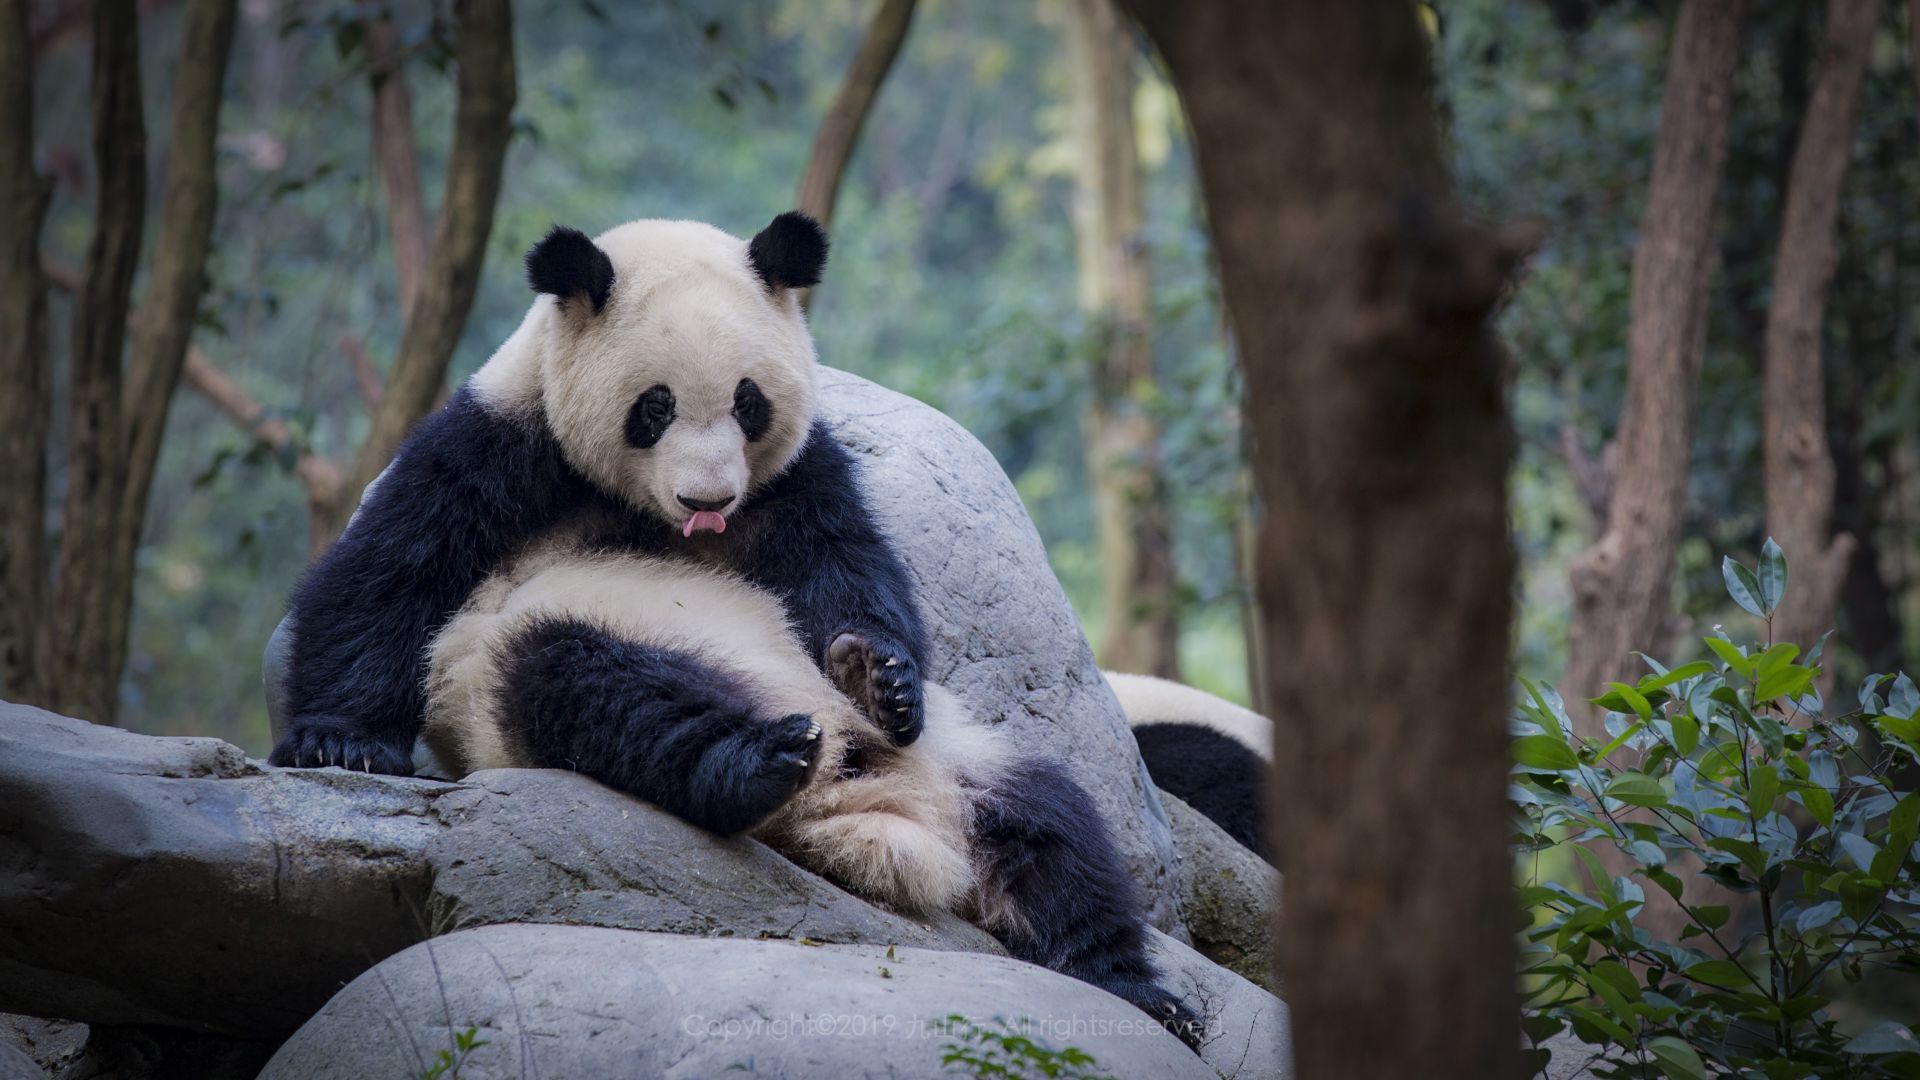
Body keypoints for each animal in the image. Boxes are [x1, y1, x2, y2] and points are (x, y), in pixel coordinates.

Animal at [270, 210, 1198, 1045]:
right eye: (654, 408)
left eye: (749, 403)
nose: (708, 499)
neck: (644, 510)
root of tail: (859, 805)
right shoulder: (502, 438)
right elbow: (397, 568)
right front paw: (342, 742)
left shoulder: (794, 477)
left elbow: (844, 562)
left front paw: (882, 675)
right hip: (526, 675)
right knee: (598, 691)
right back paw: (757, 759)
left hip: (966, 758)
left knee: (1053, 828)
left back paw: (1137, 990)